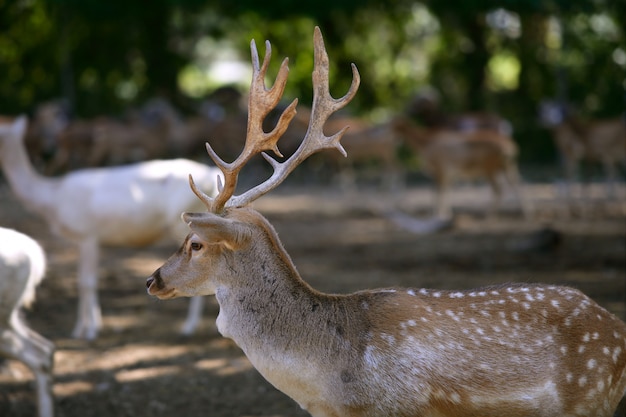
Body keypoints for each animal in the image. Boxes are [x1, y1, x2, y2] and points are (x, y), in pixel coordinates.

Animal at [0, 115, 219, 340]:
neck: (52, 200)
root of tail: (212, 174)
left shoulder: (88, 234)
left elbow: (87, 282)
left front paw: (89, 331)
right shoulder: (83, 240)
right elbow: (83, 281)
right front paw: (82, 329)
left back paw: (189, 326)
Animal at [390, 114, 528, 218]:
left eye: (389, 125)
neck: (426, 143)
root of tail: (509, 146)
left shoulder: (440, 172)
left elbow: (439, 193)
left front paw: (439, 215)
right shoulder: (449, 175)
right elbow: (446, 192)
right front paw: (447, 214)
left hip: (490, 170)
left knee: (499, 190)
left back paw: (489, 215)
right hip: (508, 167)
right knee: (517, 185)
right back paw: (527, 213)